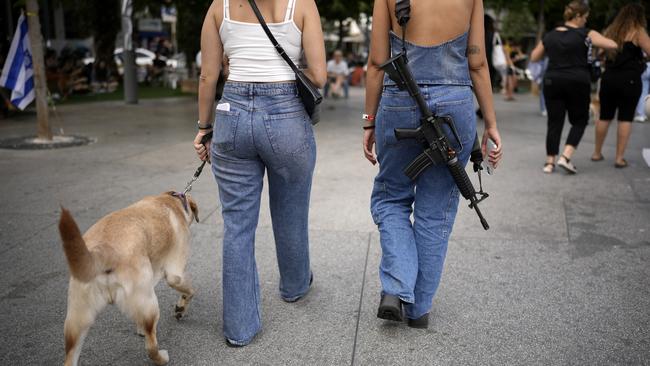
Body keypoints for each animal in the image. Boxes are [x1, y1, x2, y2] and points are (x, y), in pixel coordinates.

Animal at [58, 193, 197, 364]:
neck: (172, 200)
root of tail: (103, 252)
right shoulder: (175, 274)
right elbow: (190, 291)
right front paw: (180, 308)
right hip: (150, 305)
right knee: (151, 347)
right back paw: (162, 358)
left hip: (76, 321)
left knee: (70, 357)